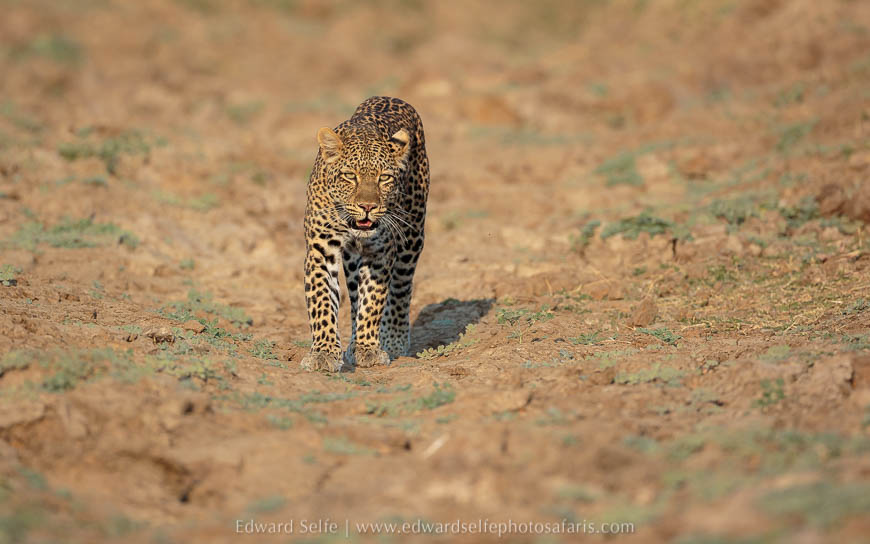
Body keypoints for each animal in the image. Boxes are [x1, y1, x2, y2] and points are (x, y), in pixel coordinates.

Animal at [300, 96, 429, 372]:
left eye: (385, 178)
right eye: (350, 176)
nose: (368, 206)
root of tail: (390, 97)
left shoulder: (380, 252)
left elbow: (373, 301)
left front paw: (368, 348)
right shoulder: (320, 249)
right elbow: (322, 300)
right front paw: (323, 353)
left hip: (412, 233)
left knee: (401, 286)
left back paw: (393, 339)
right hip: (351, 259)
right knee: (354, 295)